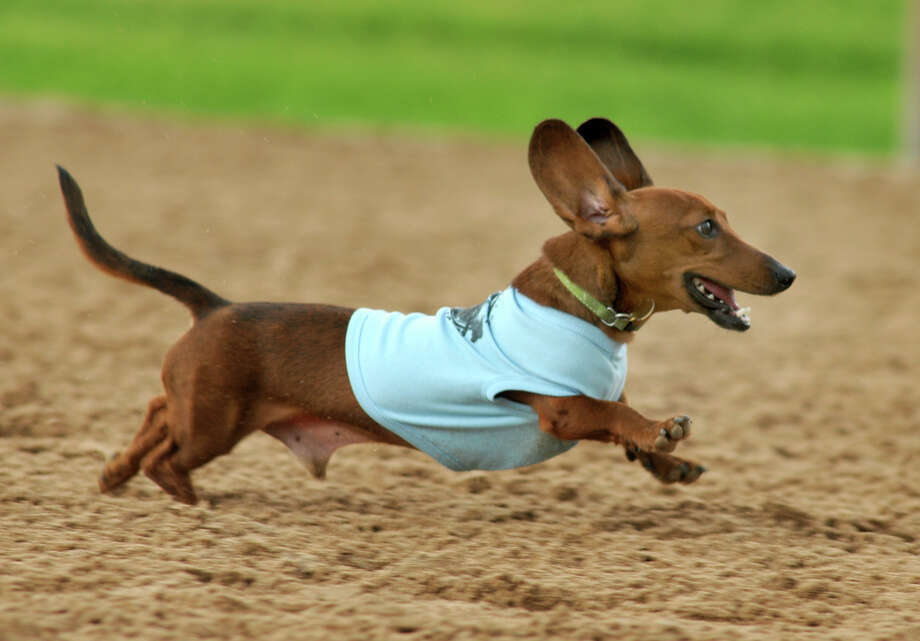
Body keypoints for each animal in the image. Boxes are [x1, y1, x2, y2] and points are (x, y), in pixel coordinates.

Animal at [57, 117, 796, 502]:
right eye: (706, 228)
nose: (787, 274)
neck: (580, 306)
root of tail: (215, 306)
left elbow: (627, 430)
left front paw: (667, 461)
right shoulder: (559, 408)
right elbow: (613, 414)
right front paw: (659, 431)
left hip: (203, 409)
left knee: (158, 412)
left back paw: (116, 473)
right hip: (215, 423)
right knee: (170, 452)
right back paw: (191, 502)